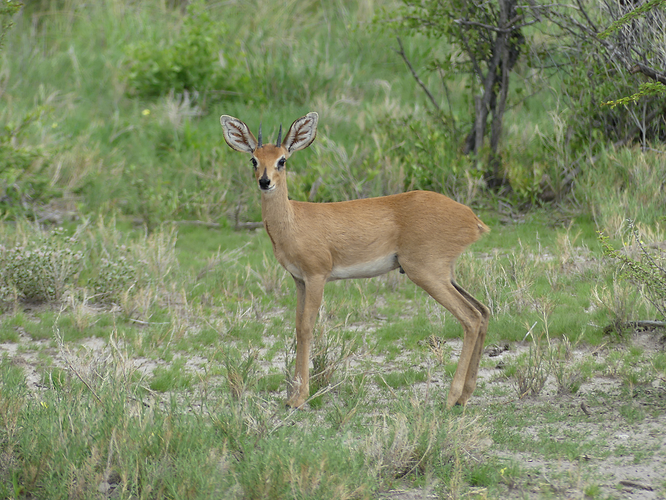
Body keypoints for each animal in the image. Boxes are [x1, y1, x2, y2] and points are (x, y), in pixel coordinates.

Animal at [222, 111, 488, 408]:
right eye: (254, 159)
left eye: (282, 159)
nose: (265, 181)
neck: (293, 221)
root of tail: (472, 218)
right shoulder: (299, 280)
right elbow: (297, 327)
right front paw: (292, 395)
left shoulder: (316, 276)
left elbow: (307, 328)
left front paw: (299, 397)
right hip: (446, 275)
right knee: (483, 311)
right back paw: (465, 395)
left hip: (427, 273)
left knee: (471, 317)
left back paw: (451, 398)